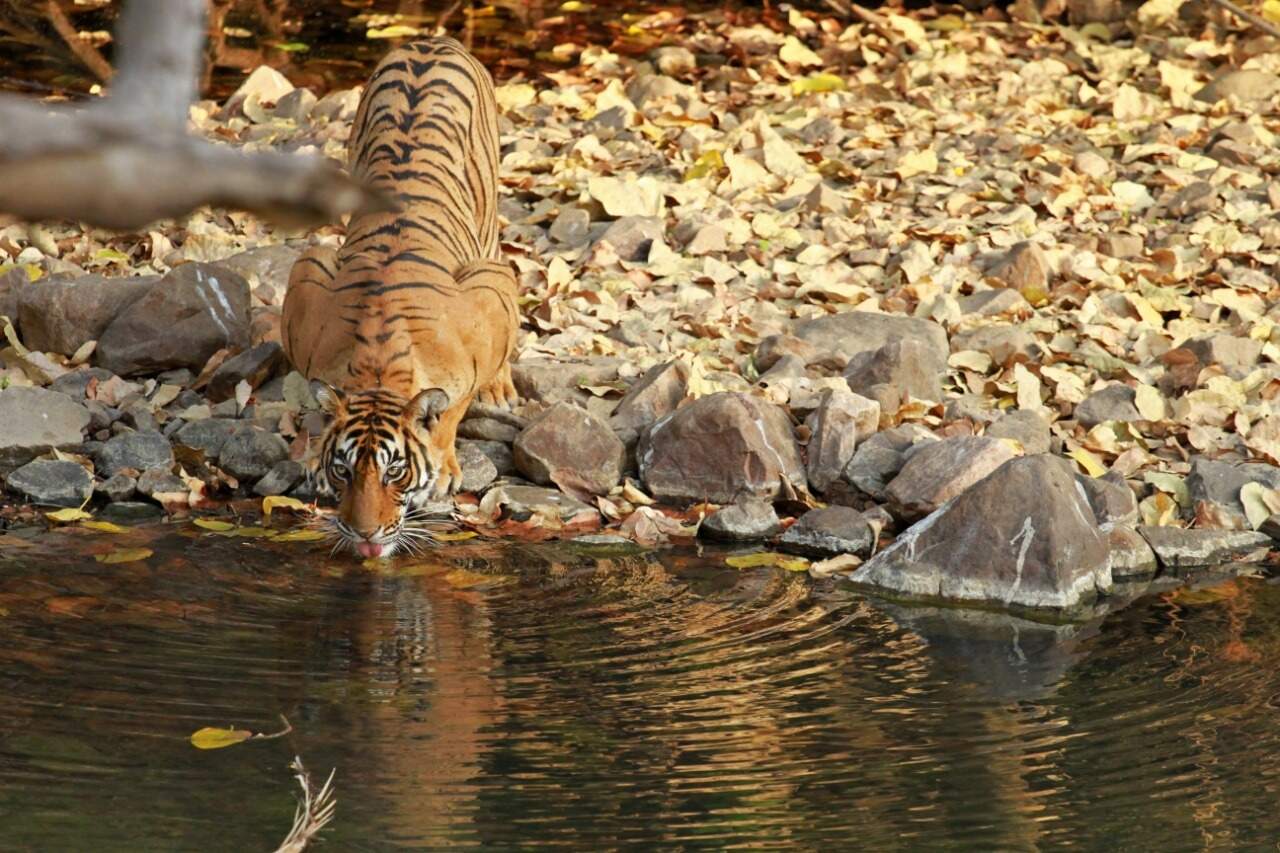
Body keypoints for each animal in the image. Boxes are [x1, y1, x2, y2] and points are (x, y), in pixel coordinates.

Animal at [282, 38, 517, 558]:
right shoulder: (309, 272)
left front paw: (444, 468)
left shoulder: (489, 294)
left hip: (489, 236)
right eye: (342, 470)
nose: (365, 534)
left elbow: (452, 410)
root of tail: (431, 40)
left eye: (395, 471)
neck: (378, 365)